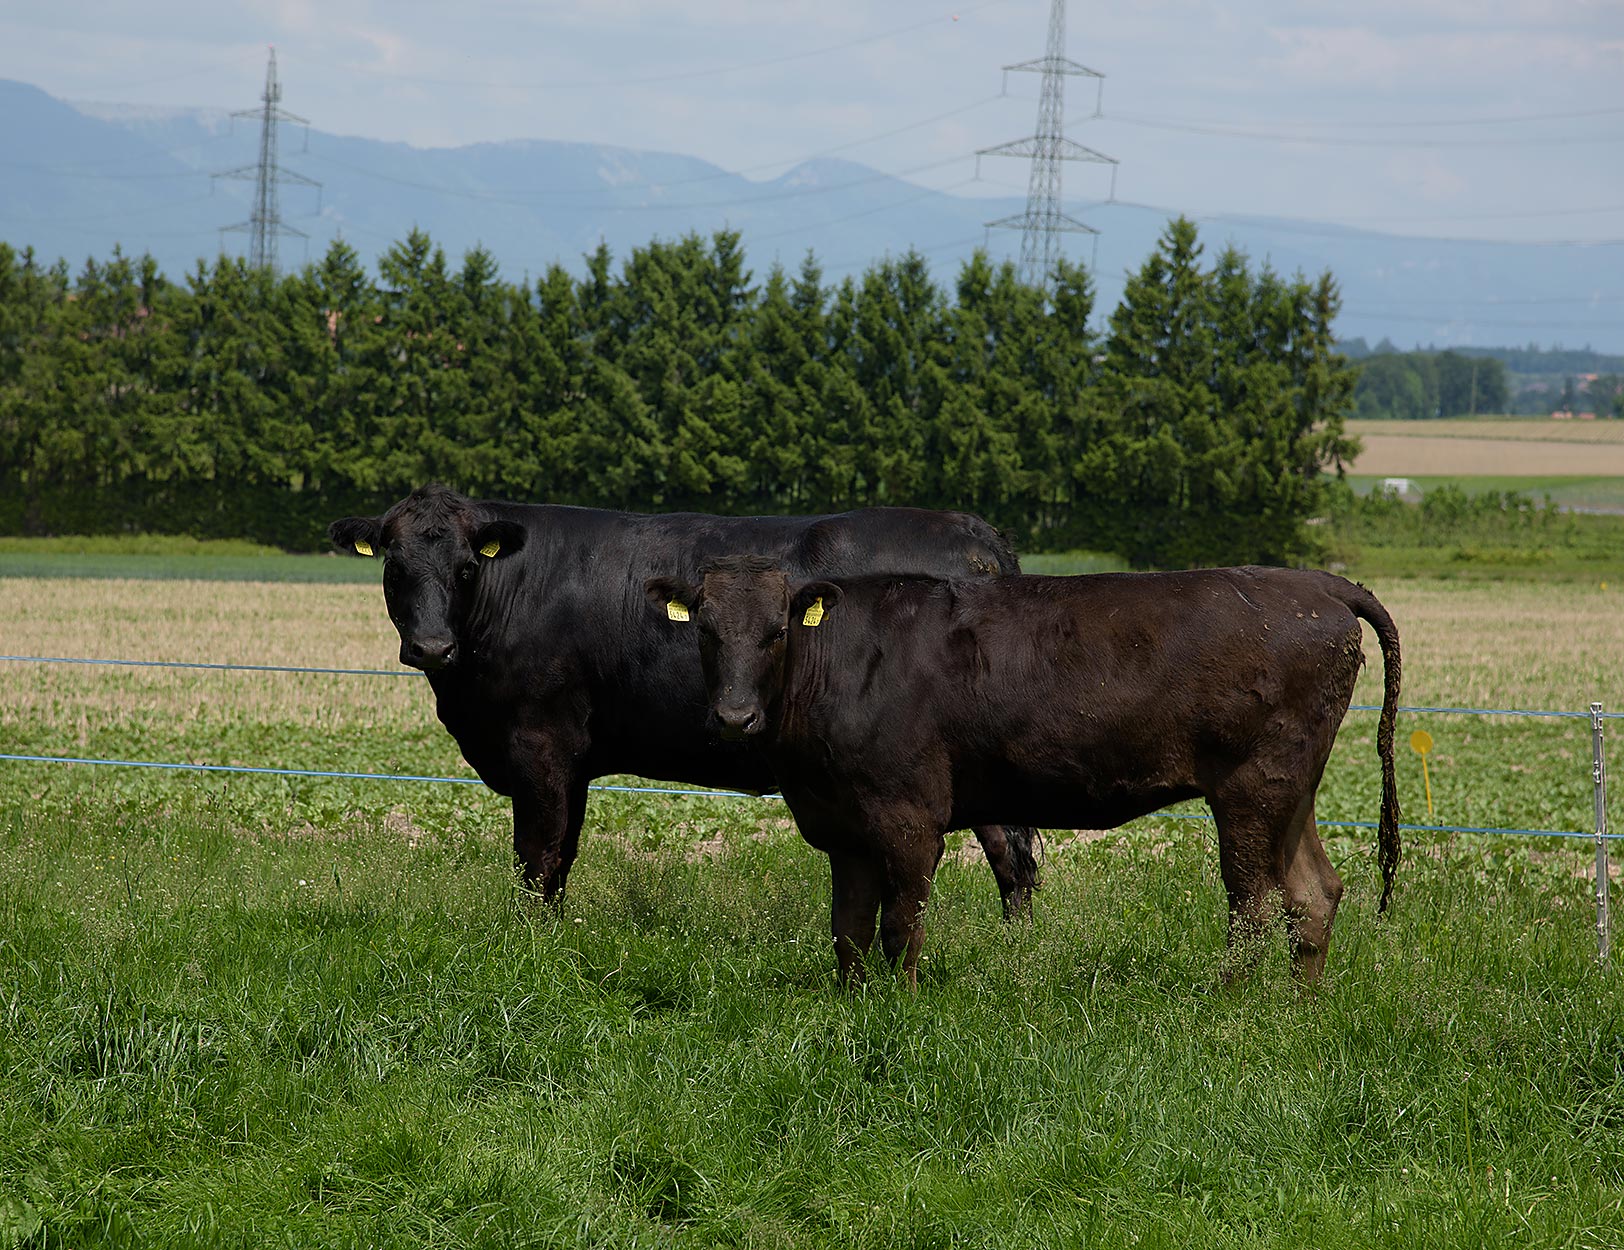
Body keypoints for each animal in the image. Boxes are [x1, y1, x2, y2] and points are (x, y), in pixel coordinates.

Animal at [329, 480, 1039, 909]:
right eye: (394, 568)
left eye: (466, 568)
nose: (431, 647)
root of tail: (975, 533)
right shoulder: (576, 758)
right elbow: (563, 854)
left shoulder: (540, 743)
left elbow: (538, 853)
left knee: (1012, 852)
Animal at [652, 558, 1403, 987]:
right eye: (706, 631)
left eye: (776, 631)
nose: (734, 717)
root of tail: (1311, 582)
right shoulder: (841, 826)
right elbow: (849, 931)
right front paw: (851, 1007)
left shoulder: (908, 815)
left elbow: (902, 923)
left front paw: (902, 1008)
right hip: (1291, 786)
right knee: (1312, 895)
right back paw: (1298, 1011)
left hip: (1250, 785)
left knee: (1251, 903)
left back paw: (1230, 1011)